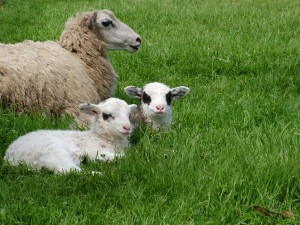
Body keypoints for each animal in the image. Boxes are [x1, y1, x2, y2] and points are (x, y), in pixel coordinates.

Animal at [3, 97, 137, 173]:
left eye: (129, 115)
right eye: (107, 115)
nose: (127, 127)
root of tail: (10, 156)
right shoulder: (95, 151)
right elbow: (123, 156)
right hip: (51, 150)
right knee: (67, 170)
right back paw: (96, 174)